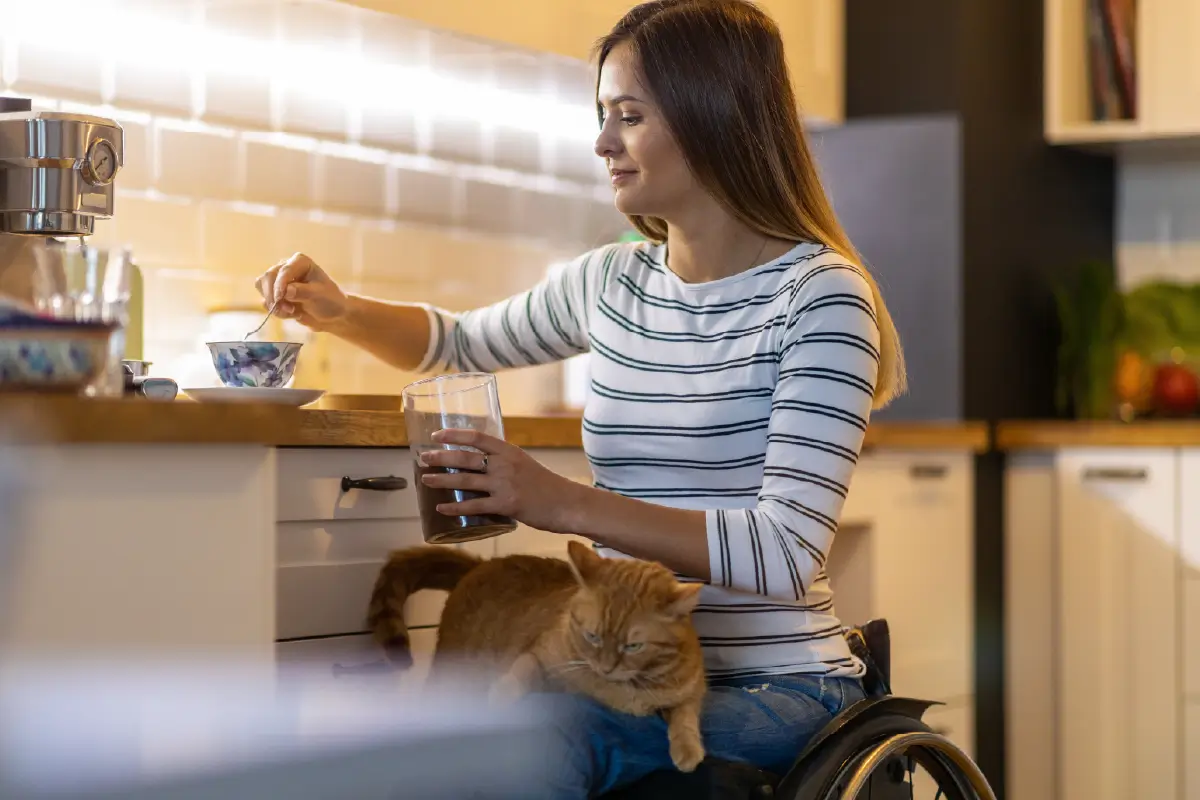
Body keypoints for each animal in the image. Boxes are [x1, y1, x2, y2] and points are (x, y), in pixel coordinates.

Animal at [362, 542, 700, 772]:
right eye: (592, 636)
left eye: (633, 647)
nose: (605, 668)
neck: (620, 691)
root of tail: (480, 563)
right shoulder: (540, 654)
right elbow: (521, 671)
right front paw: (501, 695)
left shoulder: (689, 690)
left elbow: (685, 716)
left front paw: (688, 749)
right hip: (451, 676)